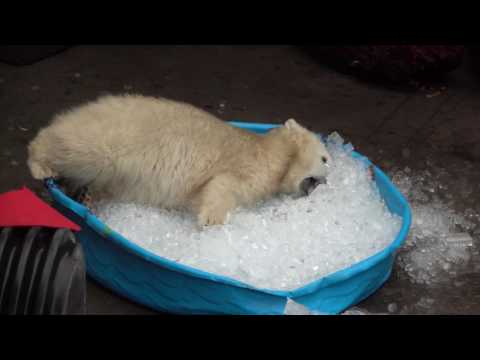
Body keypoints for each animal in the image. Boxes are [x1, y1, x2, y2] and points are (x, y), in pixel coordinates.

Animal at [28, 94, 332, 226]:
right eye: (325, 158)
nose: (328, 182)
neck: (273, 153)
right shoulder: (249, 164)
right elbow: (224, 184)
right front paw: (212, 220)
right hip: (113, 137)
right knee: (80, 147)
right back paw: (40, 163)